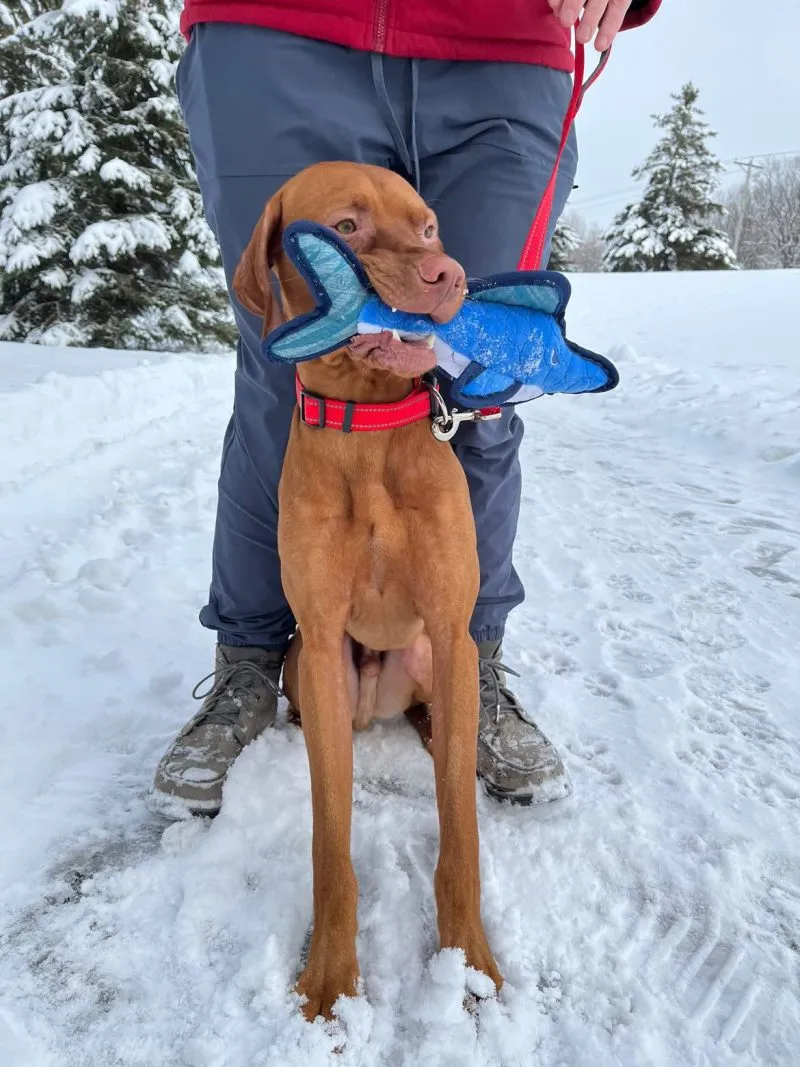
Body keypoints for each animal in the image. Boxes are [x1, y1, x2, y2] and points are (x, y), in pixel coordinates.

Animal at [231, 162, 503, 1020]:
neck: (370, 425)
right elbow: (330, 841)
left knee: (446, 720)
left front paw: (468, 963)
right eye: (346, 226)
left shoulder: (451, 630)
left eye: (428, 225)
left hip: (432, 659)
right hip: (312, 672)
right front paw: (330, 977)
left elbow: (460, 830)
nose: (448, 274)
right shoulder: (319, 646)